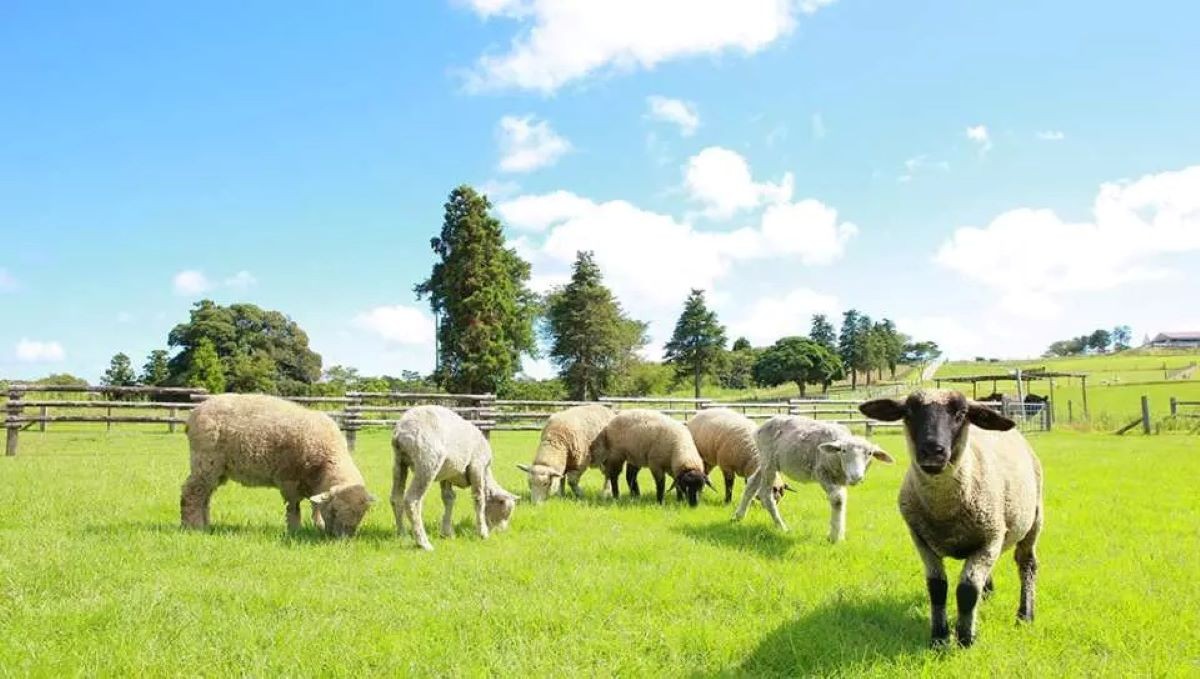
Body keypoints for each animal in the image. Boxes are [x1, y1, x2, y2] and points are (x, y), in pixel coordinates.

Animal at [178, 395, 369, 539]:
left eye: (361, 515)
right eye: (335, 511)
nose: (342, 540)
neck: (326, 460)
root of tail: (195, 412)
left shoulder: (313, 483)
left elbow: (315, 506)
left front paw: (319, 526)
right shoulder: (289, 479)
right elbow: (294, 507)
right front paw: (295, 530)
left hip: (218, 469)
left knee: (205, 495)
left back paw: (206, 525)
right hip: (206, 461)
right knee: (192, 492)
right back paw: (193, 526)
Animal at [386, 407, 513, 551]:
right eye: (505, 512)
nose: (501, 532)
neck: (486, 472)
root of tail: (401, 432)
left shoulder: (447, 475)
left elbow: (449, 499)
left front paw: (446, 532)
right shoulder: (477, 465)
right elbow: (479, 498)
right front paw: (483, 533)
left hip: (399, 462)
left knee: (396, 498)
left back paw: (402, 534)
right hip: (427, 461)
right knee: (412, 500)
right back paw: (423, 543)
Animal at [724, 415, 897, 542]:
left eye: (870, 453)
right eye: (843, 450)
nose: (856, 476)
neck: (836, 459)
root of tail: (761, 427)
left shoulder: (839, 480)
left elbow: (841, 500)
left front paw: (838, 533)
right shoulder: (821, 472)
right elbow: (837, 500)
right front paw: (834, 537)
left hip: (766, 460)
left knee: (752, 482)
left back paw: (739, 516)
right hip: (769, 461)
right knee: (765, 493)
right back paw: (781, 526)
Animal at [859, 388, 1046, 647]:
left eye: (961, 414)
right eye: (908, 412)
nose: (932, 451)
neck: (944, 512)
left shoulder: (991, 538)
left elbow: (967, 590)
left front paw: (965, 639)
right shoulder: (921, 540)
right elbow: (937, 587)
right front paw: (939, 637)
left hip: (1033, 520)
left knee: (1027, 564)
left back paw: (1025, 615)